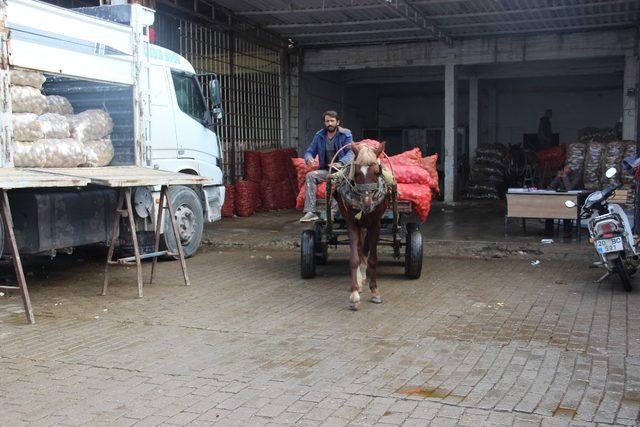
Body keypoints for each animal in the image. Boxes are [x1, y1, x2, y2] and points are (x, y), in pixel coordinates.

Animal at [330, 142, 390, 310]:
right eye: (356, 173)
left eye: (377, 172)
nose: (367, 204)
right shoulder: (352, 224)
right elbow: (354, 258)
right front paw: (354, 294)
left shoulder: (375, 224)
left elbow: (372, 258)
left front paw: (375, 291)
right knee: (359, 249)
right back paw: (359, 278)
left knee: (365, 248)